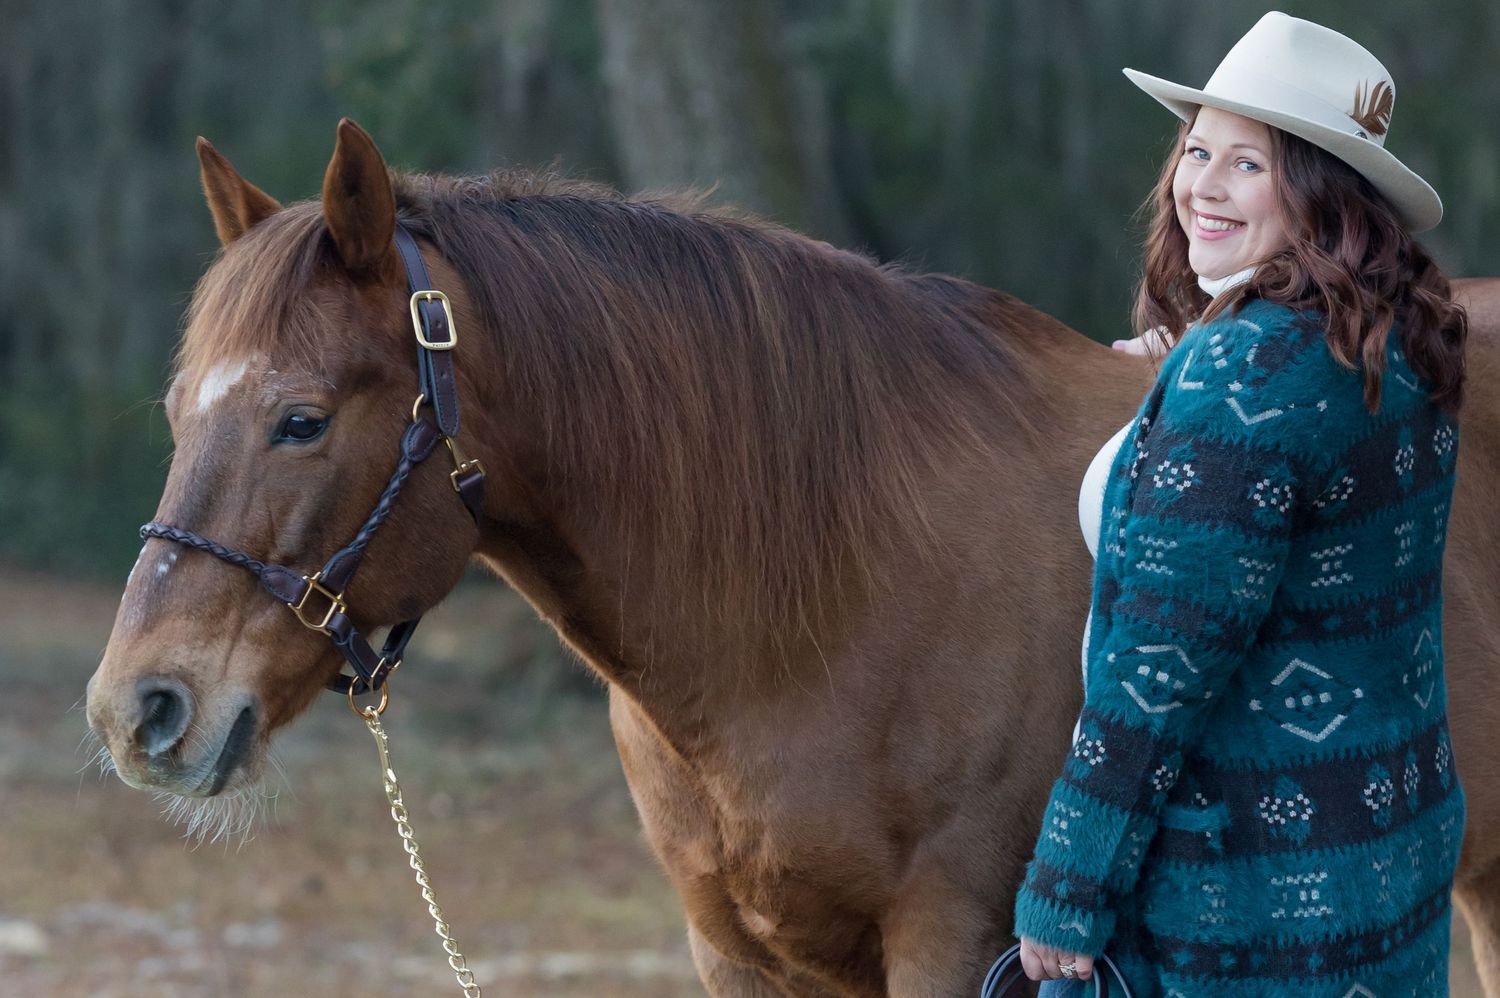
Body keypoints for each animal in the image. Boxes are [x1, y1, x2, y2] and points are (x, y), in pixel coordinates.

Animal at [86, 119, 1500, 996]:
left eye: (302, 419)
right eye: (176, 412)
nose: (138, 707)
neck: (825, 598)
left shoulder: (956, 940)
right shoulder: (738, 949)